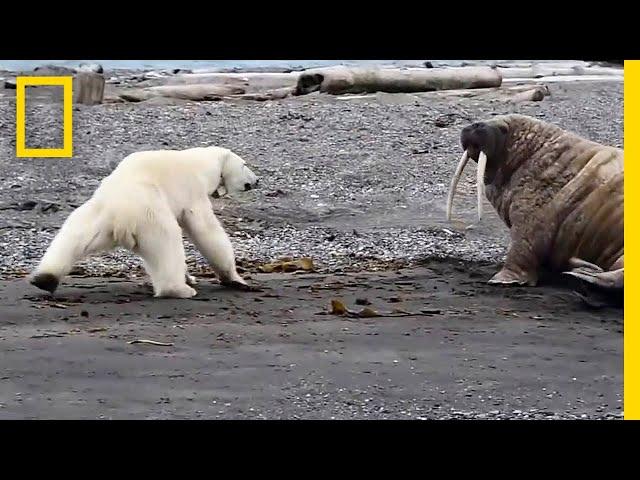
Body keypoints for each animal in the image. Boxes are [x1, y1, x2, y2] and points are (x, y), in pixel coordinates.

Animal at [29, 144, 260, 298]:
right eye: (245, 164)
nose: (257, 180)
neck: (199, 165)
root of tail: (118, 218)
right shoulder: (191, 190)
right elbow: (206, 231)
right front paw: (235, 279)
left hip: (94, 216)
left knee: (71, 238)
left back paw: (44, 279)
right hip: (150, 215)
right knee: (168, 242)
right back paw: (179, 289)